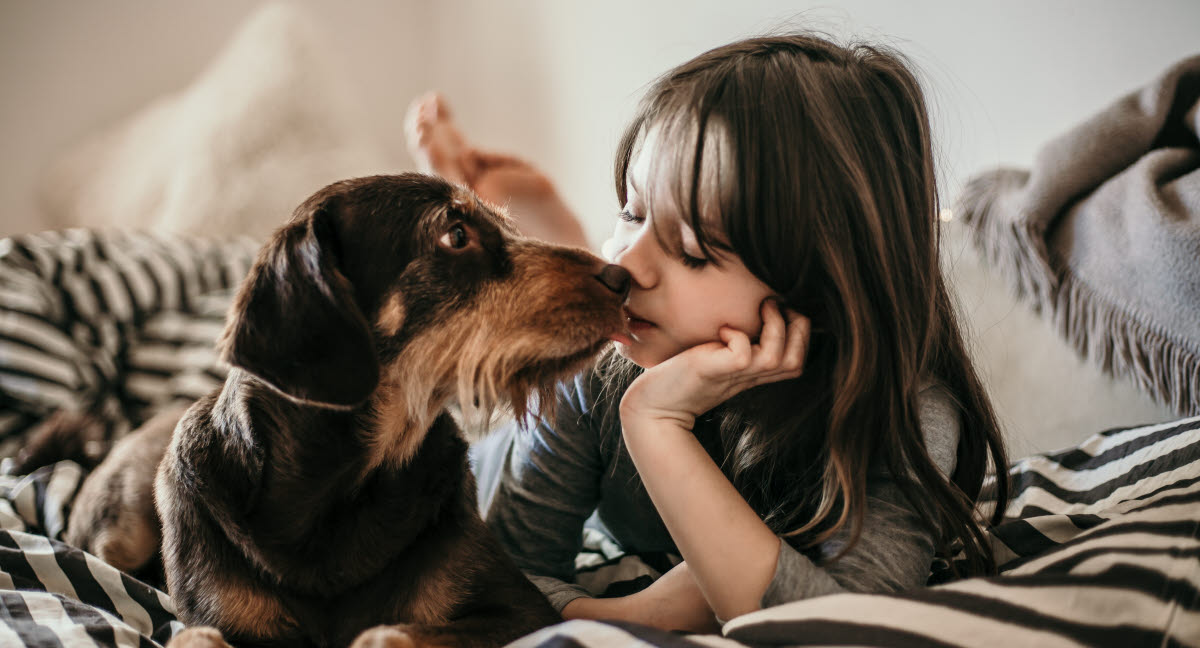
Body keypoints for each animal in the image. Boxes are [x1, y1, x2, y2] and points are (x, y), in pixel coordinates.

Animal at [71, 172, 633, 648]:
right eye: (455, 235)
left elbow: (389, 632)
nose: (623, 278)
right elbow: (193, 637)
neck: (337, 489)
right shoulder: (220, 618)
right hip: (121, 530)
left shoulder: (524, 613)